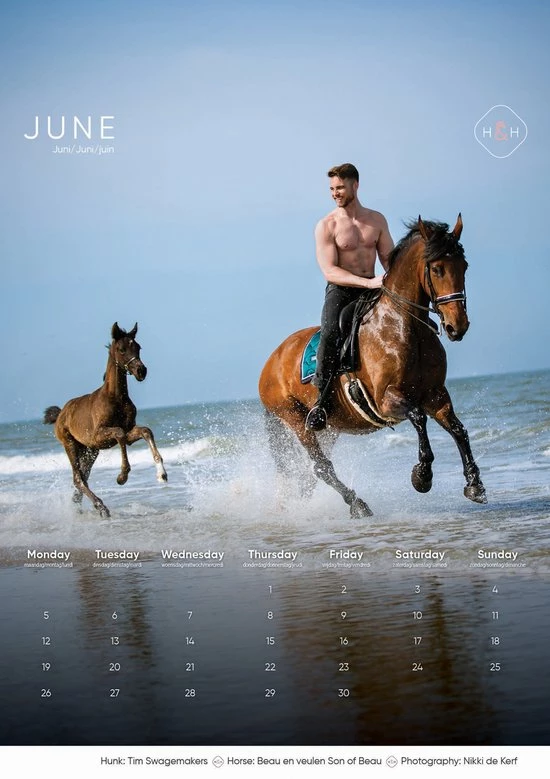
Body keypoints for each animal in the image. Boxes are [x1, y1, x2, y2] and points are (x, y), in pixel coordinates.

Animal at [44, 322, 167, 517]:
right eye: (122, 349)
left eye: (138, 347)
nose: (141, 371)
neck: (116, 398)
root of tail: (61, 413)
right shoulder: (99, 435)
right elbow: (119, 433)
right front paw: (122, 477)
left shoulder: (128, 431)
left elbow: (145, 431)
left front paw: (161, 474)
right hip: (70, 444)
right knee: (78, 478)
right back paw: (101, 508)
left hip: (90, 451)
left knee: (83, 477)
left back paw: (80, 507)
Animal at [258, 215, 487, 518]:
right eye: (437, 269)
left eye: (464, 266)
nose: (457, 326)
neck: (404, 326)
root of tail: (270, 363)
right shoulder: (386, 399)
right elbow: (418, 417)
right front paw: (422, 476)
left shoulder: (436, 394)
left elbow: (459, 430)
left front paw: (475, 484)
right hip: (297, 421)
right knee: (321, 467)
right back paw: (357, 504)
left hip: (330, 429)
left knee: (309, 474)